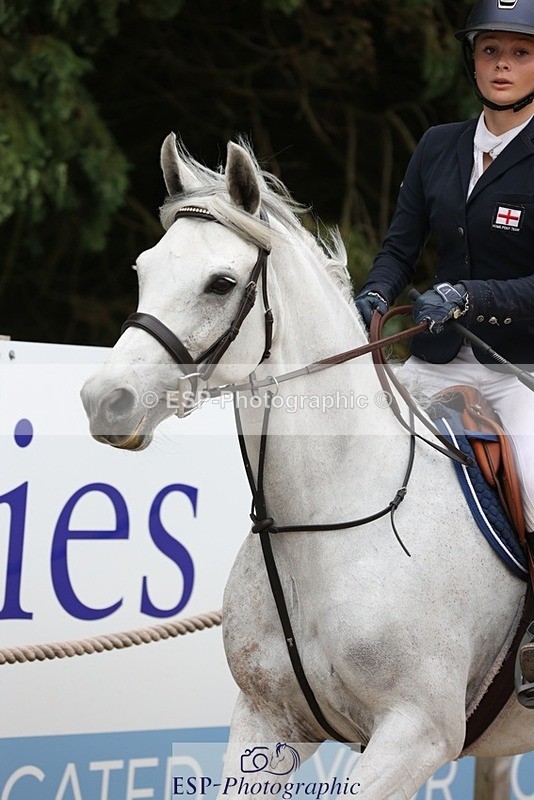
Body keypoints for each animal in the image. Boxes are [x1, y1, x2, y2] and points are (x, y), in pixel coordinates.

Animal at [80, 133, 534, 799]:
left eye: (220, 283)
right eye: (144, 270)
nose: (104, 400)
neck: (320, 526)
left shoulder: (416, 734)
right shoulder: (268, 717)